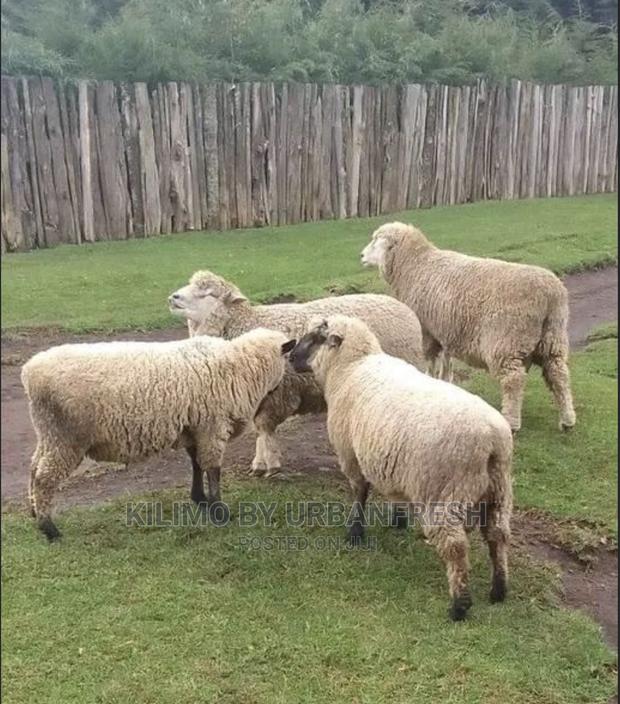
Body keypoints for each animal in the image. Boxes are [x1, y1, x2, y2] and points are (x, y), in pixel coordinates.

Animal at [21, 329, 295, 540]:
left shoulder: (194, 427)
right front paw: (219, 511)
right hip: (66, 437)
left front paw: (200, 500)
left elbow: (196, 465)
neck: (241, 366)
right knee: (44, 478)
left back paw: (34, 511)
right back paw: (49, 528)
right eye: (288, 357)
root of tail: (29, 372)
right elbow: (213, 469)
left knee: (34, 468)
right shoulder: (212, 427)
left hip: (48, 432)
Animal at [168, 270, 425, 477]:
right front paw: (259, 463)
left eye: (208, 294)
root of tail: (403, 307)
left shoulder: (278, 393)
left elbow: (264, 427)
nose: (173, 297)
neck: (246, 325)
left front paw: (271, 463)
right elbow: (259, 429)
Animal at [289, 315, 513, 621]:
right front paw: (398, 520)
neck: (351, 367)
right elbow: (394, 495)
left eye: (314, 338)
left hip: (443, 492)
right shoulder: (392, 462)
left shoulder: (351, 455)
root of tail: (492, 439)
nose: (289, 356)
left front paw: (355, 534)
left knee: (455, 546)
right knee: (497, 535)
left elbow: (360, 494)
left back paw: (459, 605)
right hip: (499, 490)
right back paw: (498, 590)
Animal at [361, 222, 576, 432]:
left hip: (508, 341)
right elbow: (447, 361)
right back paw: (567, 421)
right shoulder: (445, 330)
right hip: (552, 337)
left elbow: (430, 361)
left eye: (376, 240)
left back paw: (512, 423)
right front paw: (445, 381)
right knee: (558, 374)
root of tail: (551, 294)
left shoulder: (426, 330)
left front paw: (430, 379)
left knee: (514, 380)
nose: (361, 256)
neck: (416, 265)